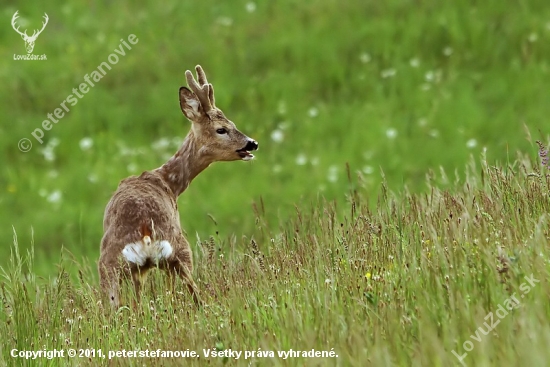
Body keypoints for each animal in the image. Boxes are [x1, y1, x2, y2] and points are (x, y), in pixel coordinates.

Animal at [98, 65, 258, 308]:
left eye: (233, 124)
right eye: (222, 129)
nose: (252, 143)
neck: (167, 182)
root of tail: (146, 232)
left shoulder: (140, 271)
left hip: (125, 265)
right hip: (172, 254)